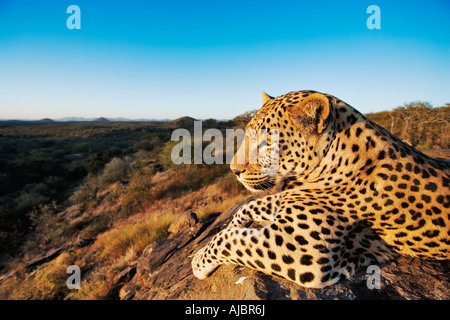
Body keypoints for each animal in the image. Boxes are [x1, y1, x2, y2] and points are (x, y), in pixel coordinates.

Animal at [191, 90, 450, 288]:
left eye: (267, 143)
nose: (233, 170)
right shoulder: (292, 197)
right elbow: (251, 205)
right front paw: (234, 224)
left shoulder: (297, 249)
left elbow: (229, 239)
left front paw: (197, 261)